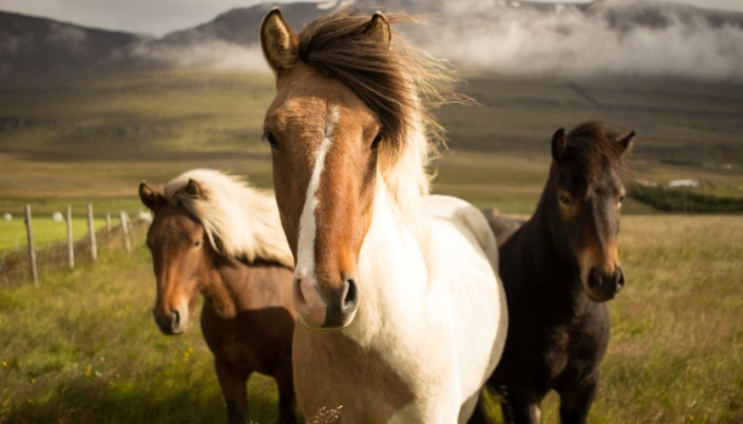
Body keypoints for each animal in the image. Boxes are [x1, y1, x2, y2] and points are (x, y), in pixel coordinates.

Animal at [482, 122, 632, 424]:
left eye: (620, 197)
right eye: (565, 198)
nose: (606, 278)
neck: (568, 316)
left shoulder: (583, 388)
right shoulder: (524, 390)